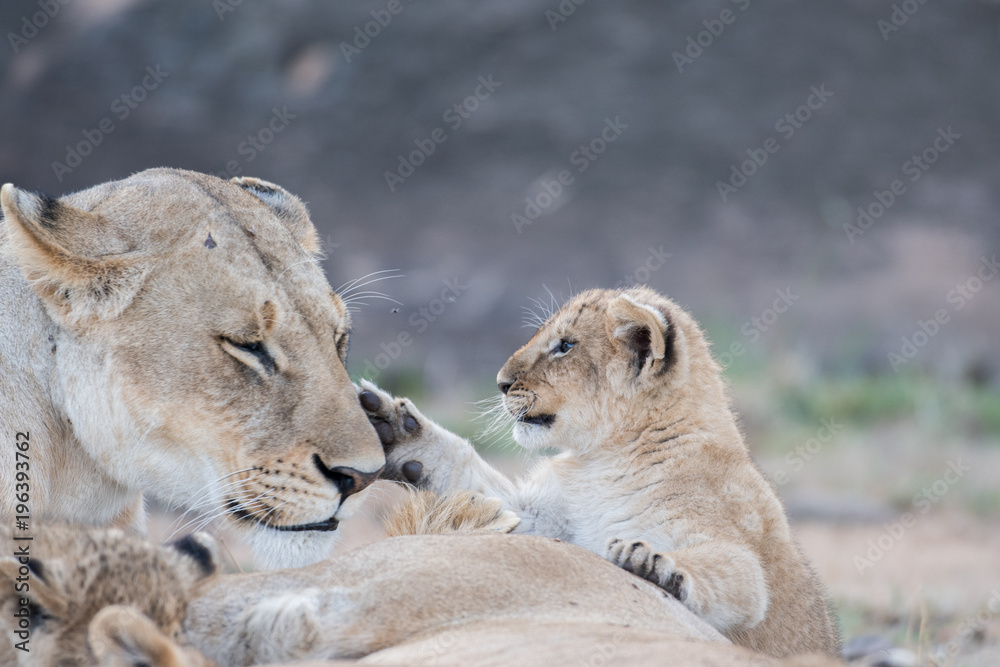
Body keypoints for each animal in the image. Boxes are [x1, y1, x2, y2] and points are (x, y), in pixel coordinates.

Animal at [359, 286, 841, 658]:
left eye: (565, 346)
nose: (500, 382)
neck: (603, 460)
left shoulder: (728, 542)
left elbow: (735, 575)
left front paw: (654, 567)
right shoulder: (545, 519)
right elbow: (468, 472)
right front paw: (395, 430)